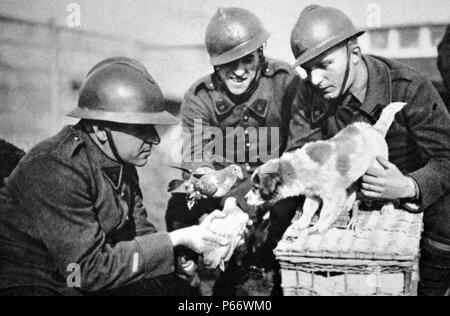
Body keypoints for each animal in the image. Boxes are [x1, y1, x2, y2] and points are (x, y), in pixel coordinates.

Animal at [244, 102, 406, 233]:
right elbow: (307, 210)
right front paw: (301, 224)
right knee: (352, 187)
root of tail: (375, 130)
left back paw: (387, 206)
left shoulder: (331, 196)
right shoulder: (312, 195)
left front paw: (317, 228)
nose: (245, 199)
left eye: (256, 188)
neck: (296, 168)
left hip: (378, 169)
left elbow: (325, 213)